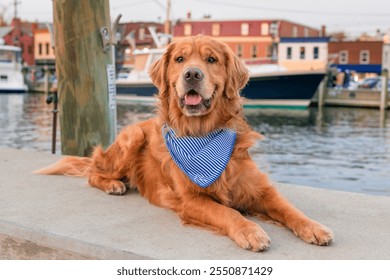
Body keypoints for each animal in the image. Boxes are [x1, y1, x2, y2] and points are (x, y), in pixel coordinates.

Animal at [35, 35, 332, 252]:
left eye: (211, 59)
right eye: (179, 59)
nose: (192, 74)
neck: (203, 134)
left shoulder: (261, 190)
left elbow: (289, 208)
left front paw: (313, 227)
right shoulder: (191, 199)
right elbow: (228, 212)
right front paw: (250, 230)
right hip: (133, 136)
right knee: (93, 172)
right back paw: (113, 184)